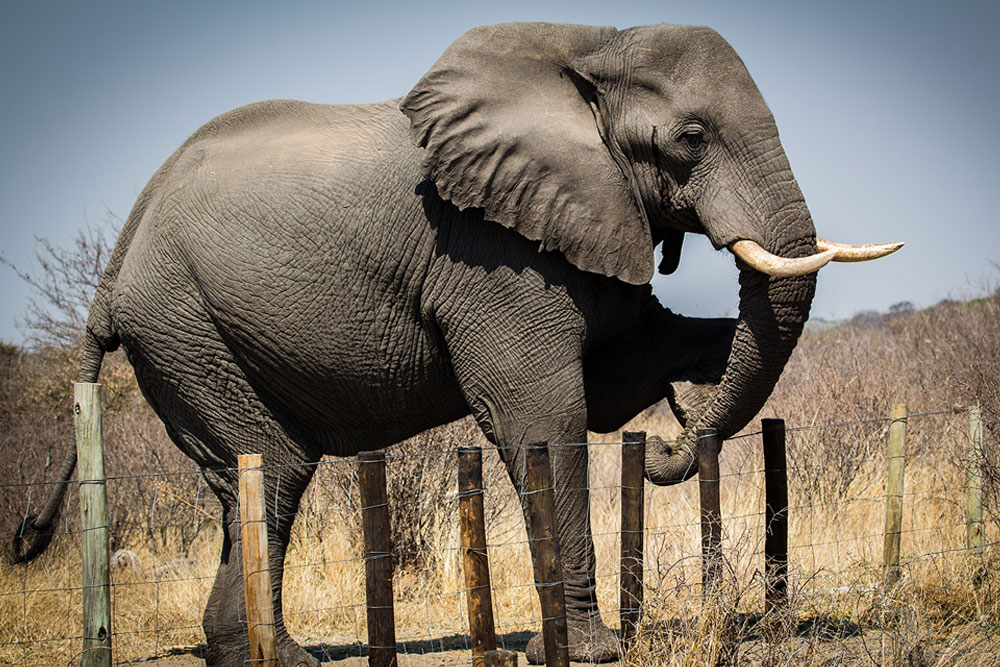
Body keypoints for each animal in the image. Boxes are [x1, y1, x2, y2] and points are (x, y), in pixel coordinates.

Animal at [9, 22, 900, 667]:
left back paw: (267, 657)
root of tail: (114, 268)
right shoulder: (486, 251)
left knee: (258, 478)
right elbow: (547, 414)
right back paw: (283, 659)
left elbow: (619, 370)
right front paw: (591, 652)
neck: (595, 44)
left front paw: (697, 372)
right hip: (184, 325)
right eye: (690, 138)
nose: (668, 444)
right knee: (274, 465)